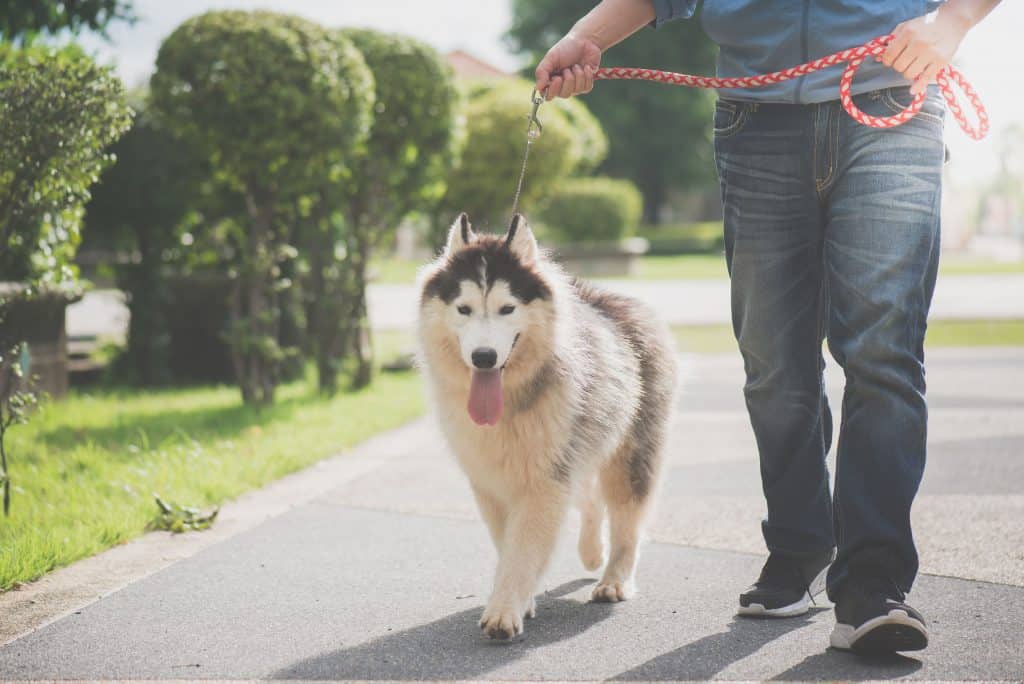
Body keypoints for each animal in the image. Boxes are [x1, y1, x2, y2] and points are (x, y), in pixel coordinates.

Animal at [415, 214, 679, 643]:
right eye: (463, 308)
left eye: (507, 308)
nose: (484, 357)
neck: (509, 400)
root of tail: (607, 297)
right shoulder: (490, 482)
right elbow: (507, 543)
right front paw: (521, 598)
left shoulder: (543, 481)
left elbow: (523, 549)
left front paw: (504, 610)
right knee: (589, 497)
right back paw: (592, 551)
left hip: (629, 453)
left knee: (627, 517)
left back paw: (615, 578)